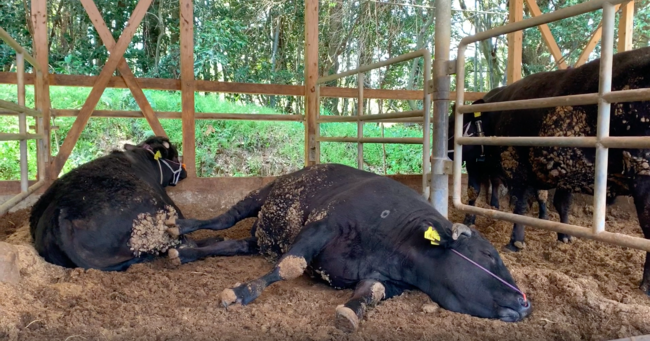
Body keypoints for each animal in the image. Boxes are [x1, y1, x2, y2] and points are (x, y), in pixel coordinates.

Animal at [165, 163, 528, 330]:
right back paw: (178, 228)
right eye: (488, 254)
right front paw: (241, 293)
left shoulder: (385, 279)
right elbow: (290, 266)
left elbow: (369, 294)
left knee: (235, 244)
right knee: (223, 220)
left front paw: (350, 313)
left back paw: (187, 251)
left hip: (262, 239)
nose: (525, 303)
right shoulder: (323, 225)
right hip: (259, 196)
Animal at [454, 46, 648, 292]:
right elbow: (559, 203)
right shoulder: (563, 173)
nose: (450, 152)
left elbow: (518, 203)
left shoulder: (515, 167)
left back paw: (646, 284)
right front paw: (563, 235)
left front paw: (516, 241)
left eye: (458, 124)